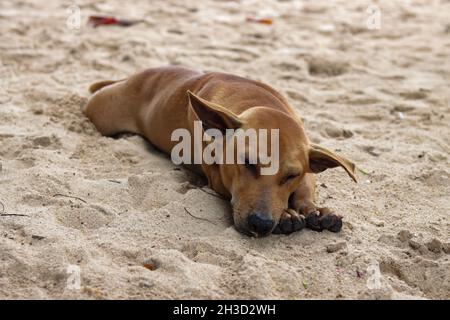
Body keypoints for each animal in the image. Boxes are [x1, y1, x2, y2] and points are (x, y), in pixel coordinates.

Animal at [83, 67, 356, 238]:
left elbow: (305, 189)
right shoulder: (217, 178)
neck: (254, 100)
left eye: (291, 175)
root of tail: (134, 76)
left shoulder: (308, 164)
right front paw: (287, 214)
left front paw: (313, 209)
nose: (262, 223)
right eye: (247, 163)